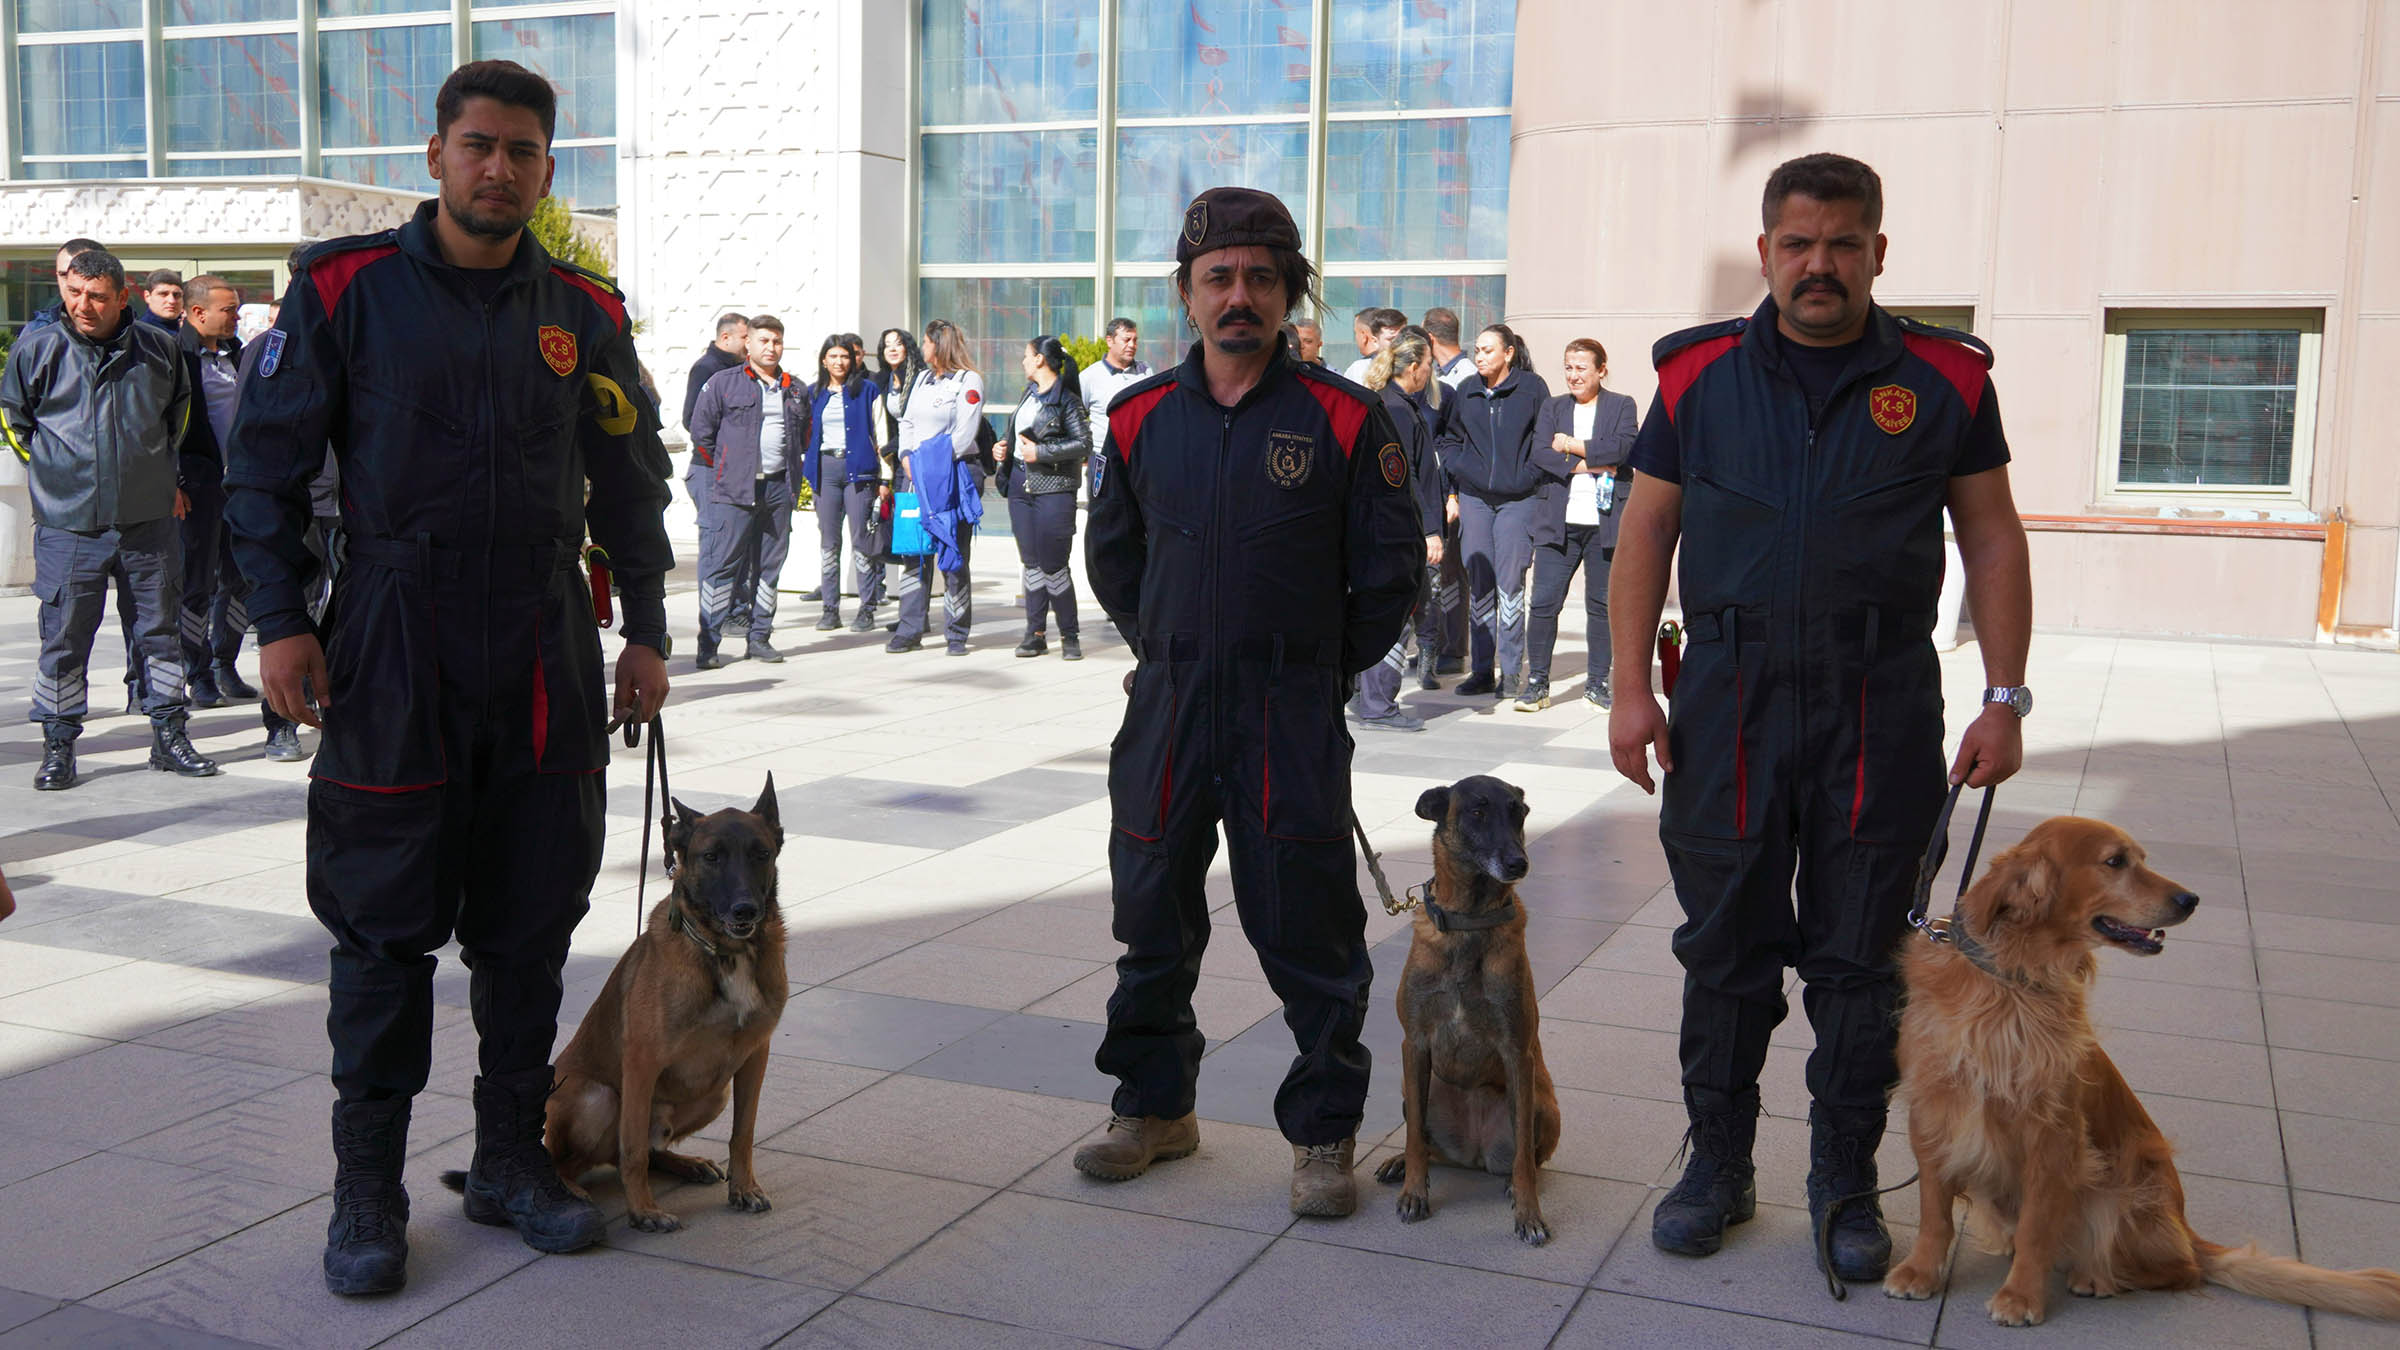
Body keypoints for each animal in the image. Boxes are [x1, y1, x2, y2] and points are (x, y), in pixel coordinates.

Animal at [441, 778, 787, 1229]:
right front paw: (642, 1211)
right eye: (711, 857)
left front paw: (743, 1188)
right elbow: (633, 1151)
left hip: (715, 1093)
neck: (723, 953)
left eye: (761, 854)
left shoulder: (753, 1058)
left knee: (653, 1148)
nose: (745, 909)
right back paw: (568, 1191)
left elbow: (742, 1133)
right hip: (599, 1098)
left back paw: (685, 1163)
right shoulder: (641, 1062)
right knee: (576, 1160)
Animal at [1382, 773, 1564, 1249]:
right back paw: (1400, 1164)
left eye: (1519, 813)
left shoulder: (1518, 1052)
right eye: (1478, 812)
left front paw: (1528, 1213)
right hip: (1418, 1092)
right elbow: (1413, 1138)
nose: (1518, 863)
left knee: (1529, 1156)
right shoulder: (1415, 1045)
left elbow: (1523, 1160)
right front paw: (1414, 1191)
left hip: (1542, 1105)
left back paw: (1514, 1184)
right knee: (1424, 1141)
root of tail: (1474, 1154)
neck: (1469, 922)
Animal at [1881, 816, 2400, 1316]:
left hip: (2120, 1196)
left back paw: (2097, 1277)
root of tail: (2186, 1227)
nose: (2191, 899)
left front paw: (2021, 1297)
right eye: (2116, 861)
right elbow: (1934, 1212)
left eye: (2142, 858)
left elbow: (2036, 1227)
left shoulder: (2054, 1130)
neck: (2011, 981)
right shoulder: (1932, 1111)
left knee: (2183, 1269)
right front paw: (1921, 1271)